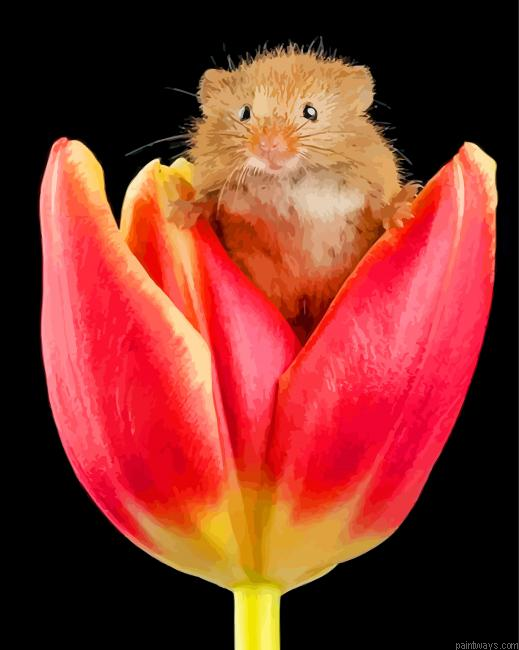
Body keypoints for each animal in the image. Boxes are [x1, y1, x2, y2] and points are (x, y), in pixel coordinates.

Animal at [169, 46, 419, 342]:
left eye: (310, 112)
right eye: (244, 112)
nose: (268, 147)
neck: (286, 178)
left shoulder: (370, 175)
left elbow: (380, 204)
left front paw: (403, 210)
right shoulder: (219, 185)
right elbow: (206, 201)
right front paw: (179, 213)